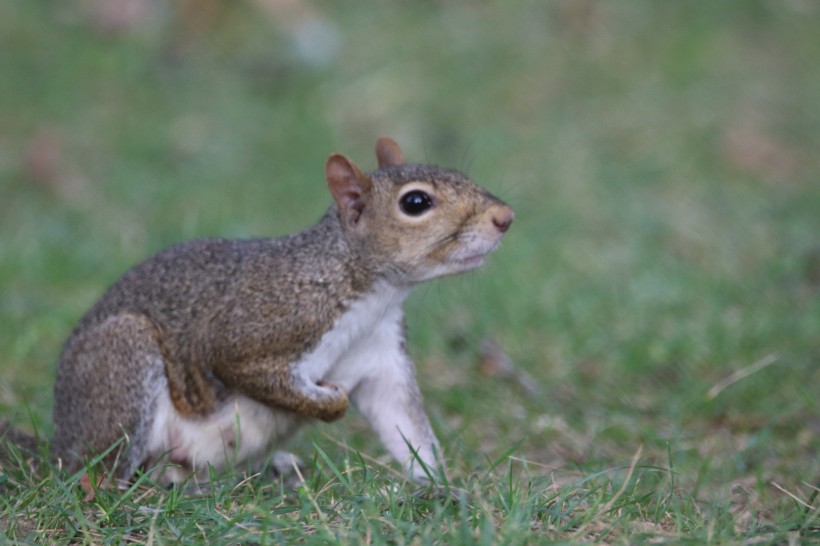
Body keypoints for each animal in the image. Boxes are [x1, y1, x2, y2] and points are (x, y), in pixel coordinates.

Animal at [32, 136, 516, 480]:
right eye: (416, 203)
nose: (505, 217)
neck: (371, 292)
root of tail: (58, 444)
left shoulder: (380, 358)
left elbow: (405, 424)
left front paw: (441, 486)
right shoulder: (264, 327)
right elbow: (240, 364)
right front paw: (331, 404)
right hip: (121, 361)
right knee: (97, 470)